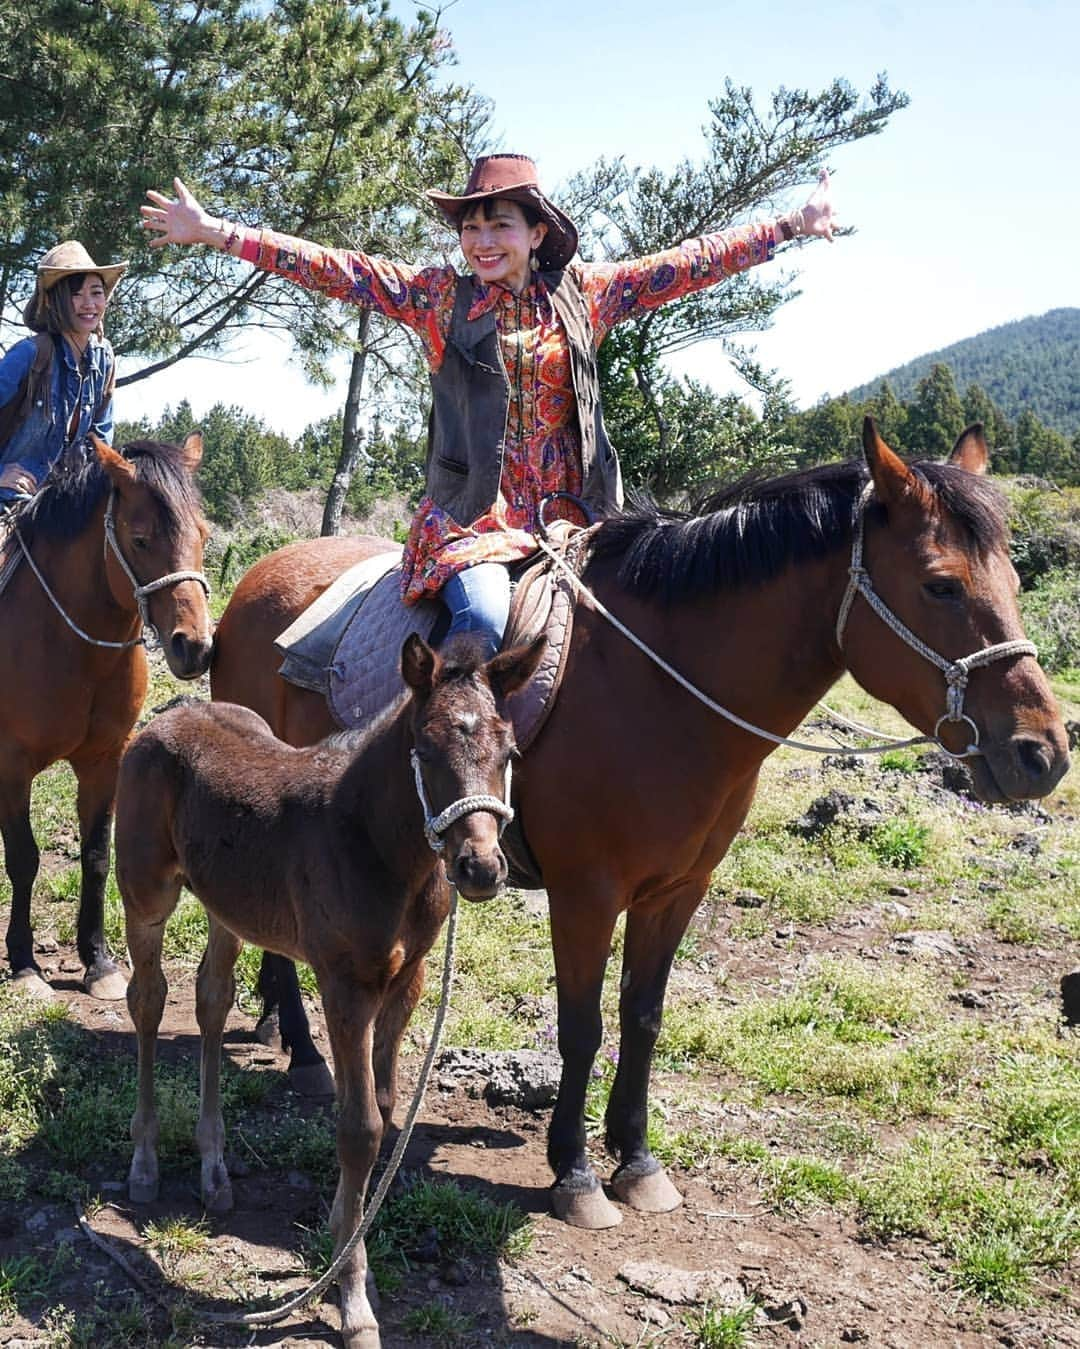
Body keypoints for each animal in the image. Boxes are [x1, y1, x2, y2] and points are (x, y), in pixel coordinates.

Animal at [0, 437, 210, 998]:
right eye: (140, 539)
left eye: (203, 534)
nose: (194, 646)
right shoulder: (12, 765)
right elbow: (24, 857)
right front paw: (24, 963)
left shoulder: (104, 761)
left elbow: (96, 858)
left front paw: (98, 961)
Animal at [113, 634, 544, 1349]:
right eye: (425, 752)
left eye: (509, 753)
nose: (480, 868)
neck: (377, 844)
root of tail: (167, 717)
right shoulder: (345, 984)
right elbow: (359, 1128)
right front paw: (351, 1295)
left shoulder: (407, 980)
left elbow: (388, 1109)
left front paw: (348, 1247)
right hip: (146, 890)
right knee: (147, 1000)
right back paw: (145, 1161)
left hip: (230, 907)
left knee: (210, 997)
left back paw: (214, 1168)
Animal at [213, 423, 1067, 1235]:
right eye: (941, 584)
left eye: (1014, 580)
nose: (1043, 752)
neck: (660, 688)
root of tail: (258, 576)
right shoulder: (585, 895)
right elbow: (582, 1027)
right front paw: (575, 1172)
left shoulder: (678, 889)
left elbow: (643, 1016)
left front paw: (637, 1156)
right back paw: (302, 1046)